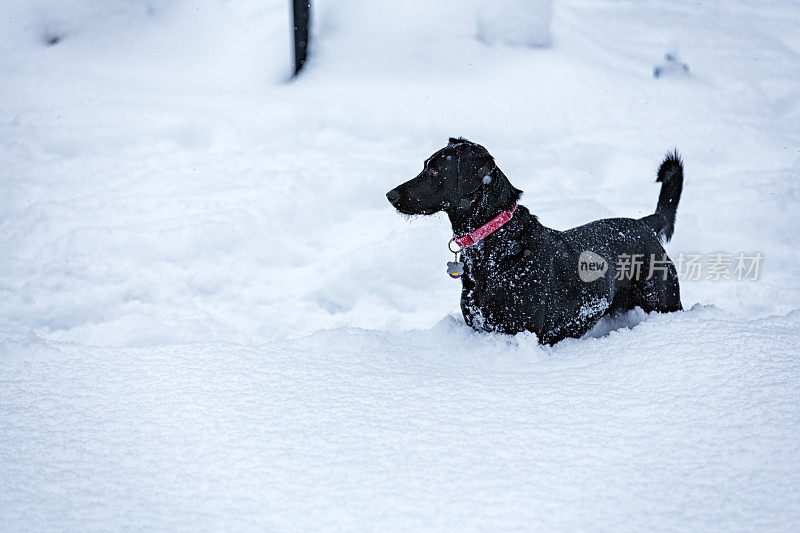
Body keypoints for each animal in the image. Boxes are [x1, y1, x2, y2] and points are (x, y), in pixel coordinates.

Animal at [388, 138, 680, 344]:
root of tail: (643, 224)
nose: (390, 195)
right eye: (425, 166)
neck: (496, 243)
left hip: (663, 301)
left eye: (435, 172)